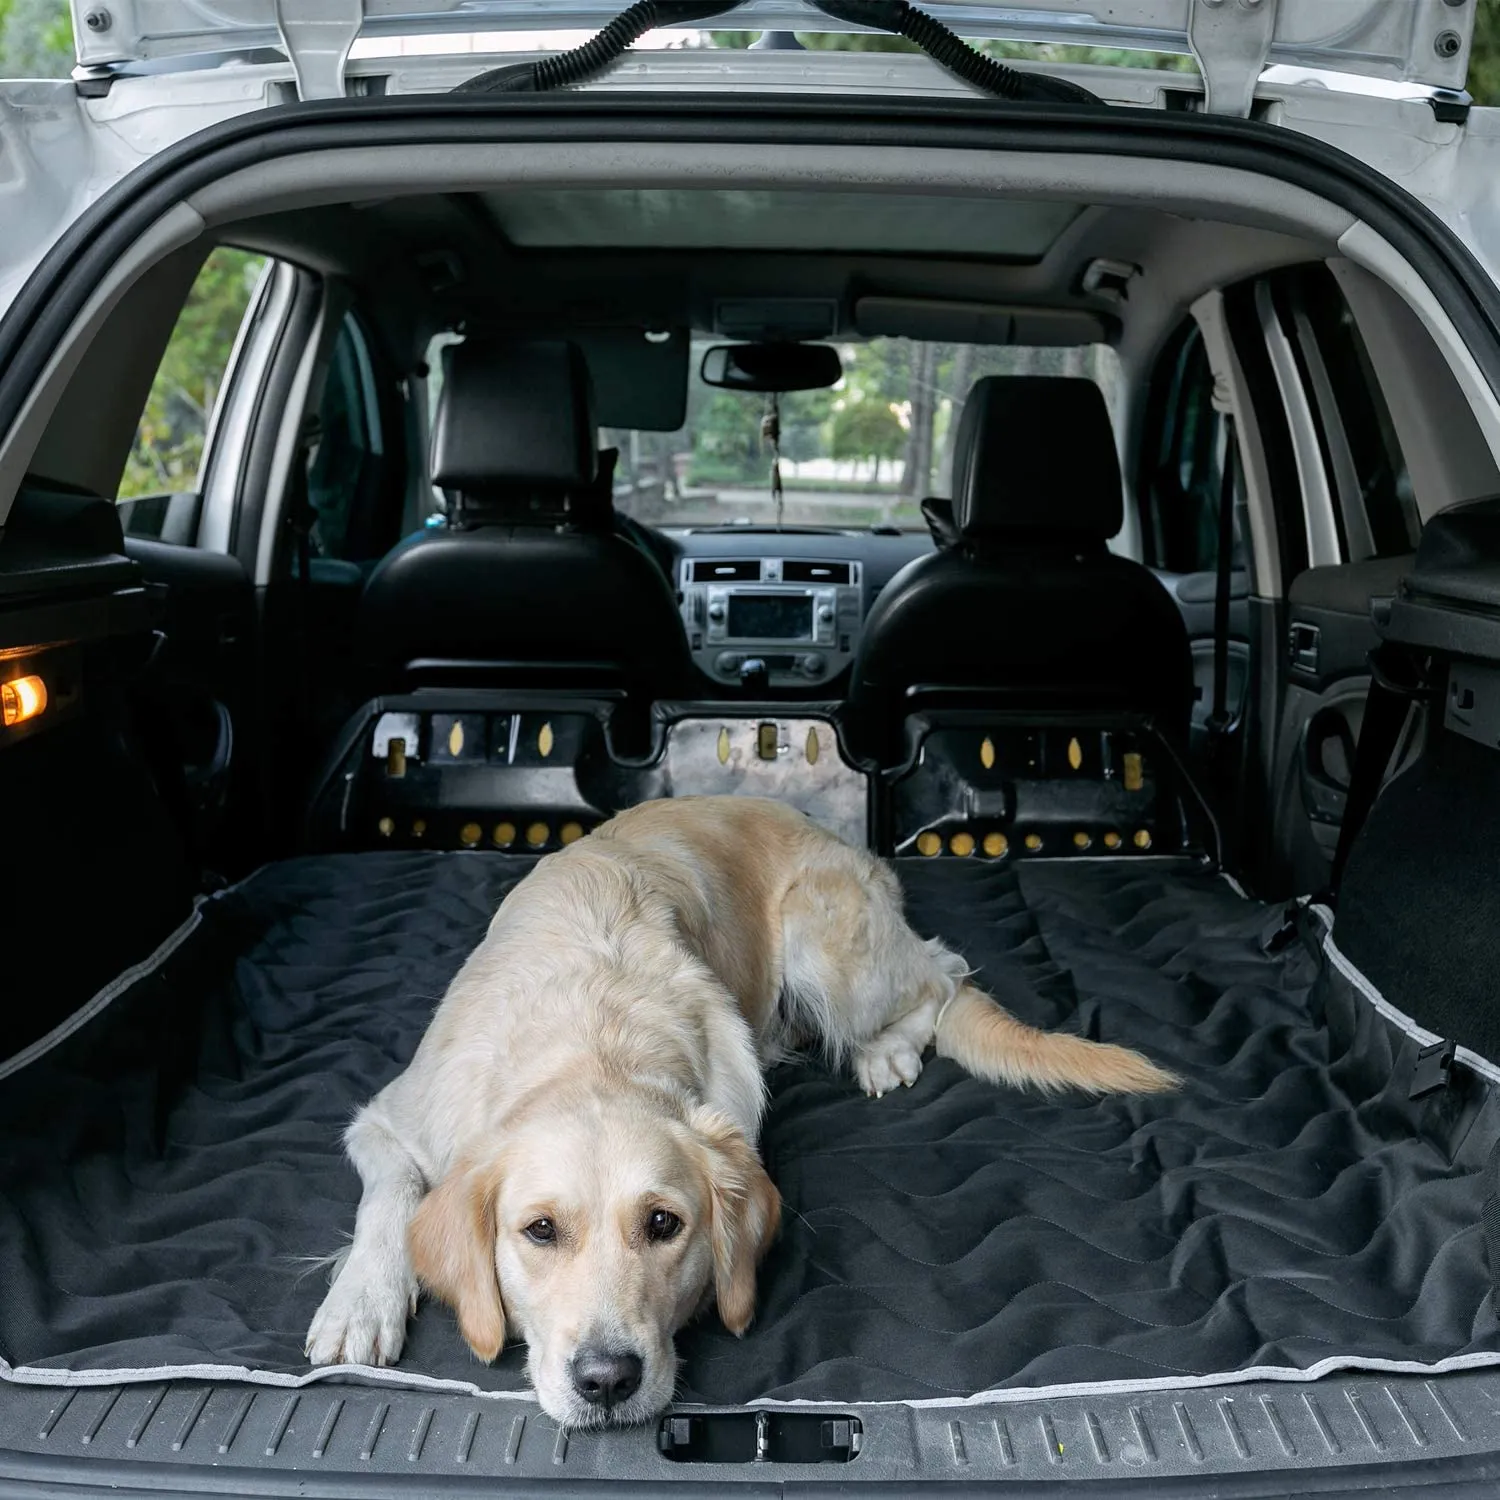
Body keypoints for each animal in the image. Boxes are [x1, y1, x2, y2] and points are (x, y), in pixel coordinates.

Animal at [301, 792, 1170, 1422]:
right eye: (539, 1231)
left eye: (664, 1224)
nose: (608, 1380)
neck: (592, 1042)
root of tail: (844, 842)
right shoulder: (389, 1117)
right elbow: (389, 1196)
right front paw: (362, 1300)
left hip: (831, 948)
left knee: (942, 976)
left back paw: (883, 1050)